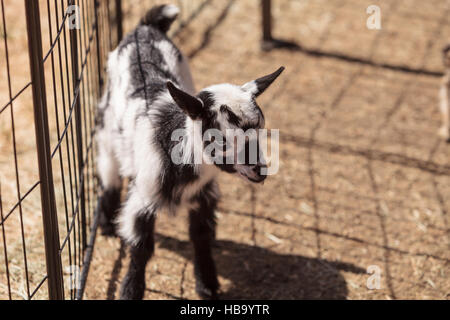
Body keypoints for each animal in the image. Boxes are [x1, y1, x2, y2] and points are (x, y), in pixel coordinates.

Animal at [96, 3, 284, 300]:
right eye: (220, 138)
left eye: (261, 130)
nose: (259, 171)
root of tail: (145, 27)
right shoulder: (142, 198)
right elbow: (141, 248)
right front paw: (130, 291)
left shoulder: (205, 196)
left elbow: (201, 238)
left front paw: (207, 285)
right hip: (106, 123)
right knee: (108, 168)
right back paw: (105, 222)